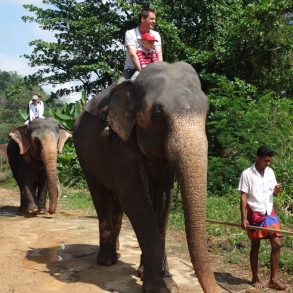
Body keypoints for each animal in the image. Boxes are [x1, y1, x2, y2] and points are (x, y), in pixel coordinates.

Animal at [72, 60, 217, 290]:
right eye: (158, 115)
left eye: (207, 110)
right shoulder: (119, 139)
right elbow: (135, 198)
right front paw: (161, 287)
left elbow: (163, 200)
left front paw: (155, 276)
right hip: (82, 152)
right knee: (100, 197)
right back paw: (106, 261)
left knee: (115, 202)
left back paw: (117, 254)